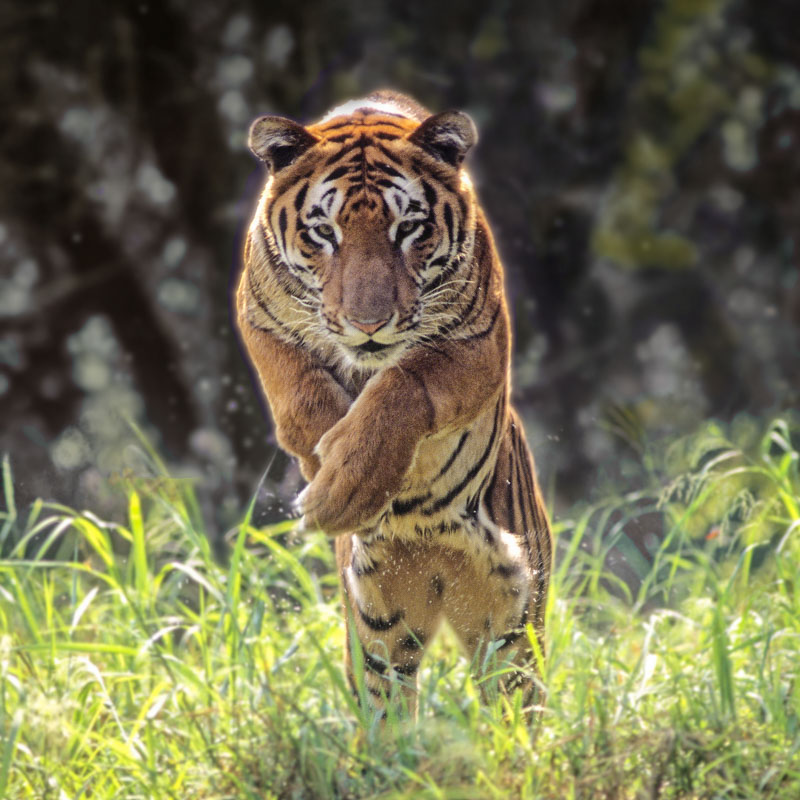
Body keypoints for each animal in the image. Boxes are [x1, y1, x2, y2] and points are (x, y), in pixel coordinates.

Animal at [236, 90, 552, 717]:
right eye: (324, 232)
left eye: (408, 228)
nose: (368, 324)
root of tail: (434, 558)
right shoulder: (258, 317)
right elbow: (301, 392)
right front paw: (326, 478)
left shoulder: (477, 342)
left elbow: (402, 387)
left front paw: (347, 486)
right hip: (381, 622)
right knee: (386, 703)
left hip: (511, 620)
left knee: (513, 701)